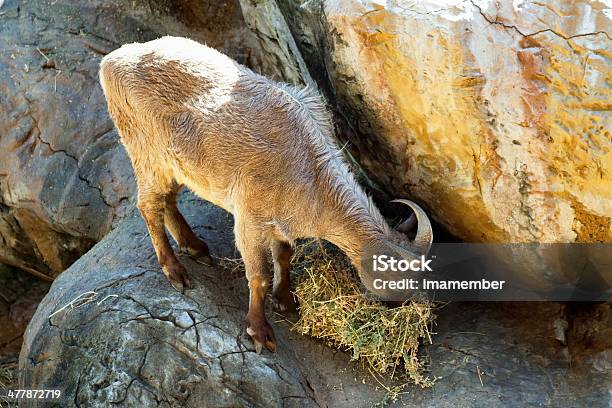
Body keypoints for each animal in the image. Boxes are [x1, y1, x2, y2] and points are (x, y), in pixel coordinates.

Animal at [99, 36, 430, 352]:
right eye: (397, 278)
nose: (403, 307)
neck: (310, 173)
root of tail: (110, 62)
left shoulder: (279, 222)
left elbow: (283, 256)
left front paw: (286, 301)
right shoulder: (250, 218)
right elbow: (258, 276)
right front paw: (260, 333)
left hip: (176, 165)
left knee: (167, 200)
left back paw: (196, 247)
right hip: (146, 152)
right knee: (148, 205)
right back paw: (175, 271)